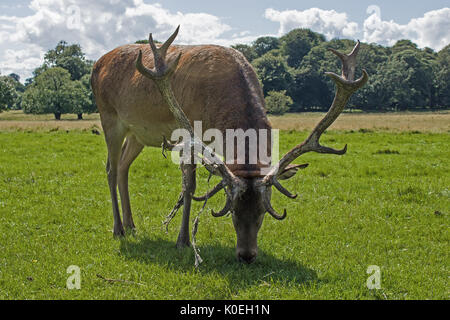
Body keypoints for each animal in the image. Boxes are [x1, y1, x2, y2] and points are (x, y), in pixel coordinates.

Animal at [90, 25, 366, 264]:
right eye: (232, 211)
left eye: (263, 212)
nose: (246, 256)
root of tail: (97, 63)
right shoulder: (190, 133)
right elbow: (189, 186)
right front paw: (182, 241)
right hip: (109, 117)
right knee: (110, 168)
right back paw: (118, 229)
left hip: (137, 134)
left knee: (123, 166)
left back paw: (131, 225)